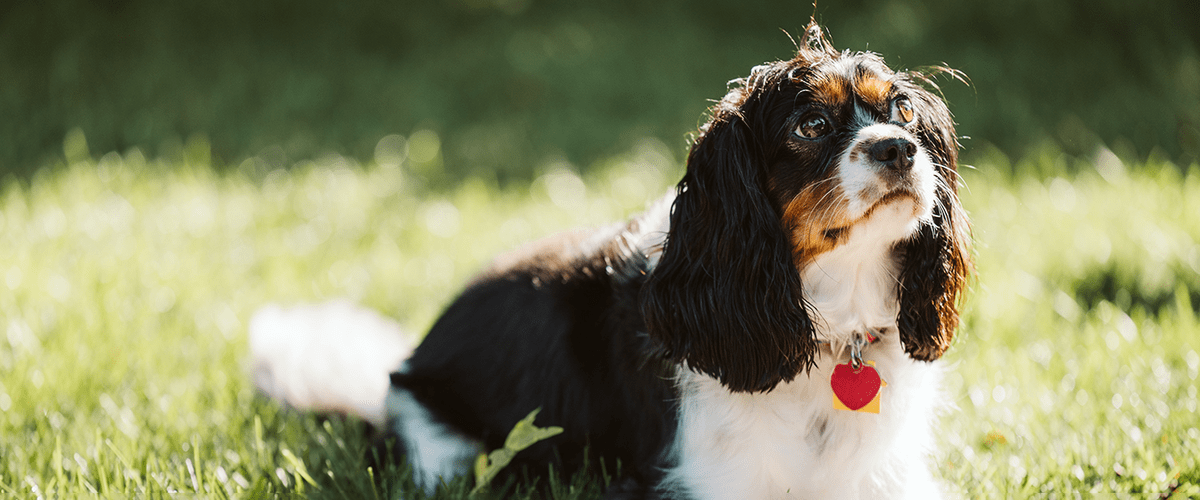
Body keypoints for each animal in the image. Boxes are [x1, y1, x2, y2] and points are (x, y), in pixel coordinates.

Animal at [250, 21, 964, 496]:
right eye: (809, 126)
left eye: (902, 110)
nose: (899, 148)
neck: (829, 326)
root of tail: (400, 371)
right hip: (447, 451)